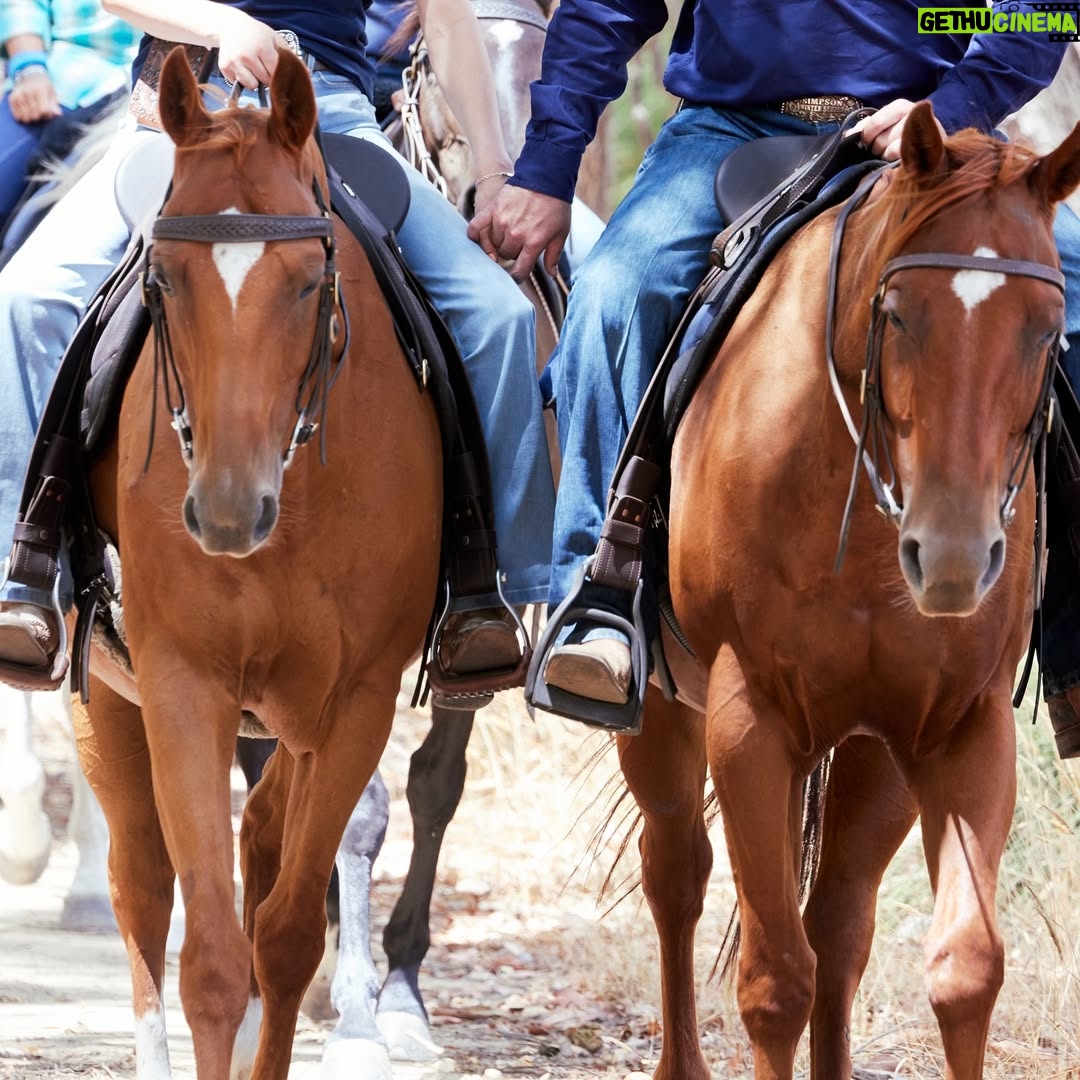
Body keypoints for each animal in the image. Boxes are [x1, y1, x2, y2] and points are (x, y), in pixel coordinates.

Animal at [77, 45, 443, 1079]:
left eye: (307, 278)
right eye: (163, 277)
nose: (228, 512)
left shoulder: (355, 701)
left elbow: (282, 936)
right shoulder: (182, 682)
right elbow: (209, 955)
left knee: (268, 840)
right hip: (106, 699)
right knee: (139, 882)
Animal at [614, 106, 1080, 1079]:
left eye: (1049, 326)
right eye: (897, 316)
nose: (952, 557)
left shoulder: (958, 726)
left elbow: (965, 969)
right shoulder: (748, 718)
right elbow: (773, 982)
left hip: (871, 751)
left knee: (838, 927)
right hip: (663, 714)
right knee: (677, 872)